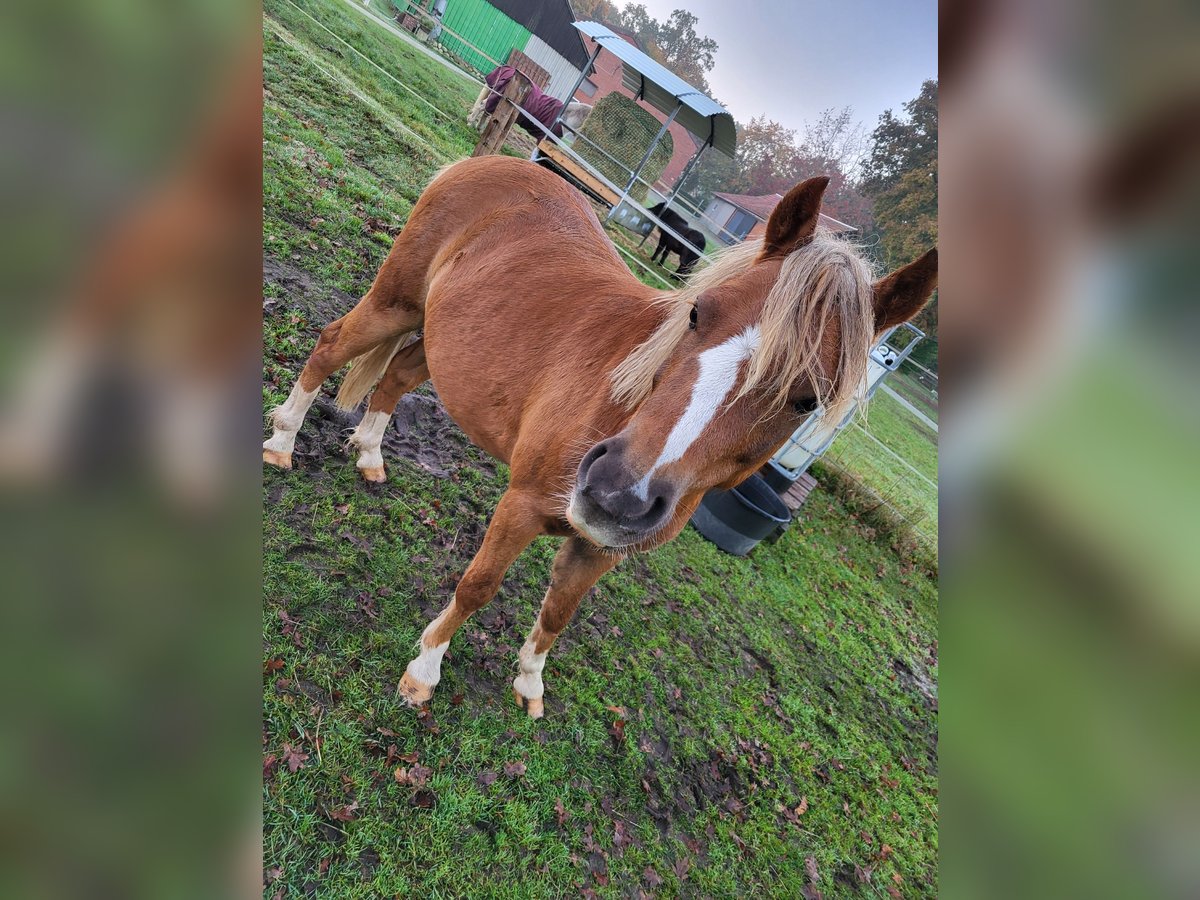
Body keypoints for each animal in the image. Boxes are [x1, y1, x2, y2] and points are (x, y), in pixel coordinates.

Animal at [265, 154, 936, 720]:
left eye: (807, 400)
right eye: (698, 313)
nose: (616, 492)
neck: (621, 401)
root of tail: (484, 162)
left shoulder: (601, 549)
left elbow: (558, 613)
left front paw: (530, 684)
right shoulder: (521, 506)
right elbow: (479, 586)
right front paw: (424, 672)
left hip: (441, 339)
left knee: (397, 376)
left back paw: (371, 454)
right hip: (396, 301)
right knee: (330, 346)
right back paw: (282, 443)